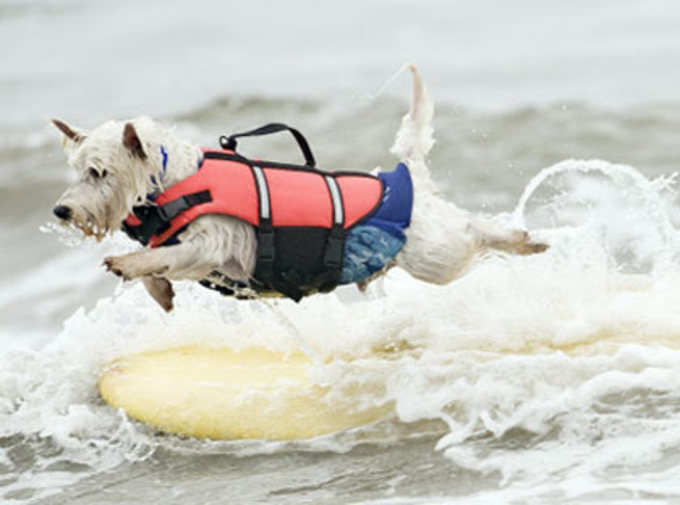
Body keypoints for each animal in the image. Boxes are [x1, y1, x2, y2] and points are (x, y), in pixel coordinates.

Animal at [50, 67, 548, 312]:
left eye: (98, 172)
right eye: (76, 171)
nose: (61, 211)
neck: (175, 182)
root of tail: (405, 175)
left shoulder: (213, 244)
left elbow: (162, 256)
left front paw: (128, 262)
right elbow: (159, 265)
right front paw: (158, 291)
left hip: (433, 254)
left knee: (472, 234)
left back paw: (524, 239)